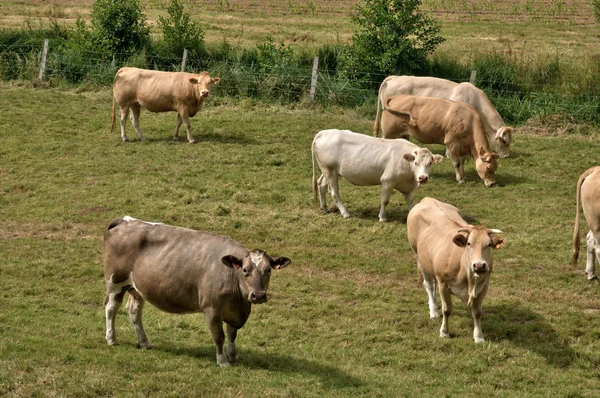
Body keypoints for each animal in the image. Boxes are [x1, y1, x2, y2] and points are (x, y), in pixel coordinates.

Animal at [312, 128, 442, 221]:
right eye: (416, 162)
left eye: (430, 163)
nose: (423, 177)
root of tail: (325, 132)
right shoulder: (387, 180)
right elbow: (385, 200)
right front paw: (382, 217)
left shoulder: (407, 185)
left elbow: (410, 201)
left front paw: (412, 214)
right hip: (329, 170)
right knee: (334, 192)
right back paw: (345, 213)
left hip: (328, 170)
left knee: (321, 184)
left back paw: (324, 207)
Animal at [408, 198, 506, 342]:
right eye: (469, 243)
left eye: (489, 244)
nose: (479, 265)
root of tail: (428, 199)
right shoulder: (444, 283)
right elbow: (447, 310)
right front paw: (444, 332)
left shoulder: (484, 286)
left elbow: (477, 312)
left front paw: (479, 337)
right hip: (419, 257)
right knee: (429, 285)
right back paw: (434, 310)